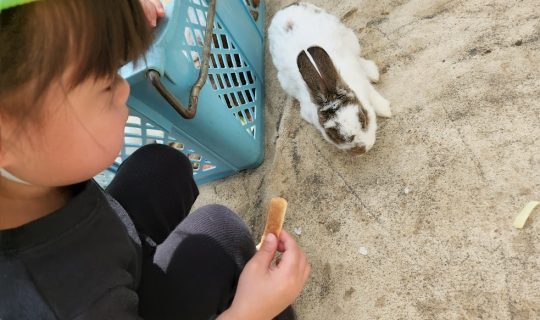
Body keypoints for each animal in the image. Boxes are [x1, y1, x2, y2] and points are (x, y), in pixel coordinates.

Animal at [268, 1, 390, 154]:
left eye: (362, 118)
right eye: (332, 133)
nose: (362, 149)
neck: (327, 90)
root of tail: (286, 8)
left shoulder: (360, 80)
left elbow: (373, 94)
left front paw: (386, 110)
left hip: (350, 38)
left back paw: (372, 71)